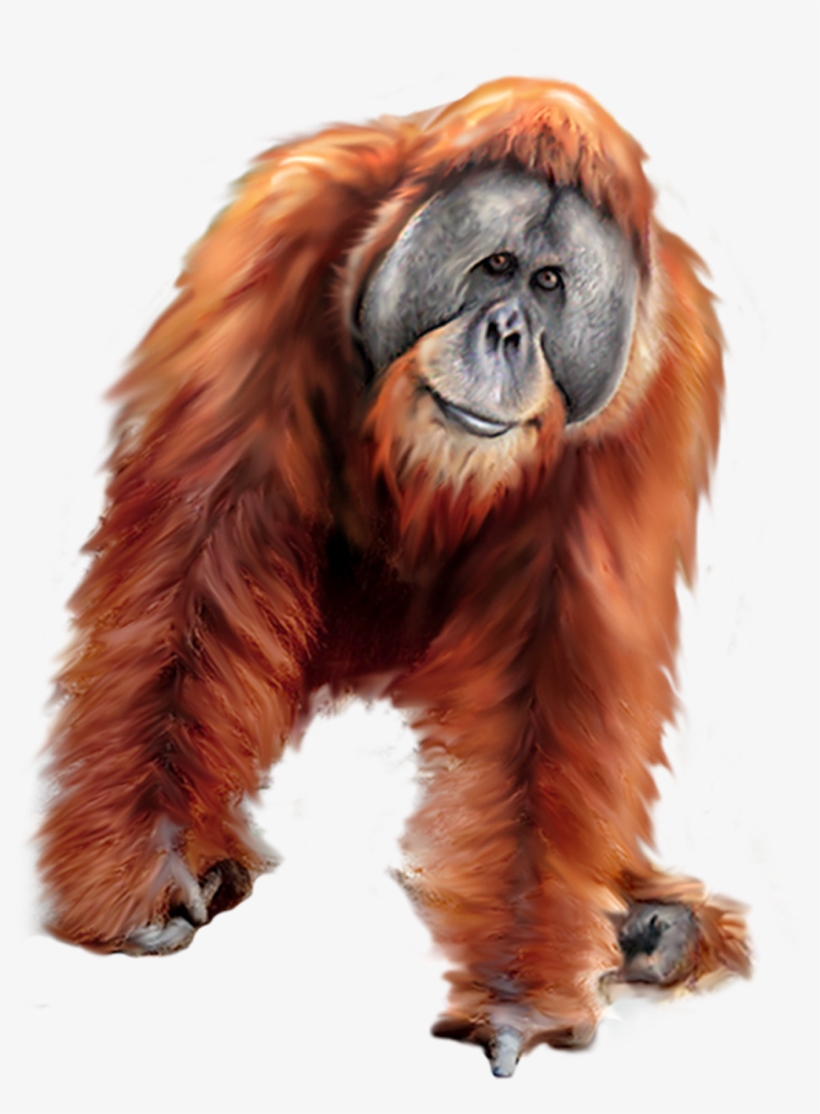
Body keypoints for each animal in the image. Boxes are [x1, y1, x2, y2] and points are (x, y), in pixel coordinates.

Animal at [39, 78, 750, 1077]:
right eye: (494, 267)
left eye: (550, 285)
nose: (506, 331)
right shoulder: (278, 241)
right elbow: (198, 560)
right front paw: (150, 876)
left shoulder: (662, 377)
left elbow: (553, 681)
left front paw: (520, 995)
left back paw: (651, 927)